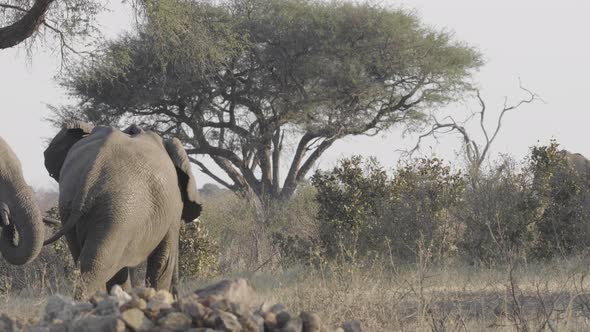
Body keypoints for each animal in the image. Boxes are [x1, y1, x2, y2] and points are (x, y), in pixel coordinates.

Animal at [42, 122, 202, 298]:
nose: (177, 295)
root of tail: (92, 171)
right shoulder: (173, 205)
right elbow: (164, 260)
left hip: (73, 204)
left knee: (88, 261)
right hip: (119, 210)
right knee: (99, 265)